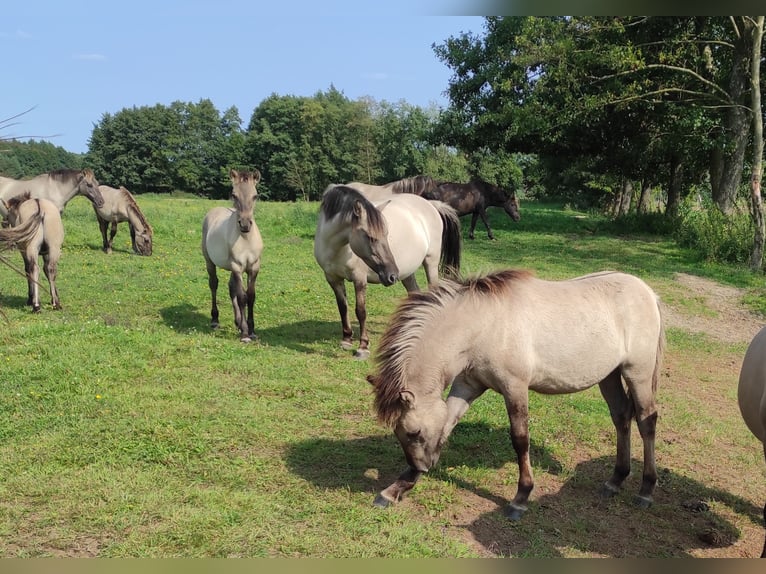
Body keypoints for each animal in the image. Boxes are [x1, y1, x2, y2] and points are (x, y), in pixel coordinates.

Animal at [201, 169, 264, 344]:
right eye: (234, 195)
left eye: (255, 196)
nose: (245, 224)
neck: (246, 239)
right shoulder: (237, 266)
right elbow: (242, 297)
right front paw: (245, 334)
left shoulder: (253, 267)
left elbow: (250, 296)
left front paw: (252, 330)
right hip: (210, 261)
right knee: (214, 284)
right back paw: (215, 320)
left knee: (231, 288)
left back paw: (237, 322)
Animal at [368, 270, 664, 520]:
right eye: (400, 433)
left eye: (414, 432)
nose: (424, 467)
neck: (484, 326)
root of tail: (648, 292)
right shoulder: (467, 385)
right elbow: (446, 426)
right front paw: (394, 490)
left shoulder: (515, 387)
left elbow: (520, 440)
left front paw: (521, 497)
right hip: (609, 376)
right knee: (621, 416)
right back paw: (615, 480)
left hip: (637, 373)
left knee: (646, 420)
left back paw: (646, 490)